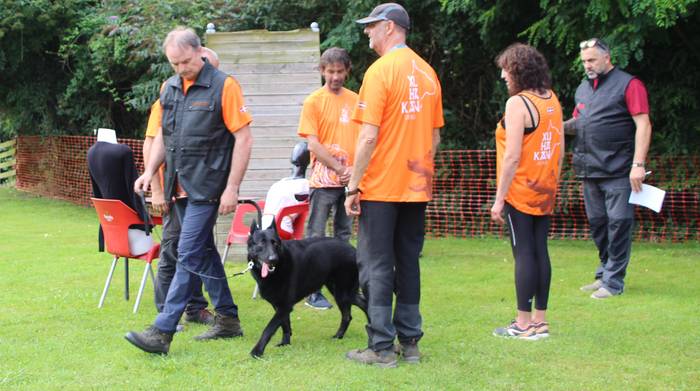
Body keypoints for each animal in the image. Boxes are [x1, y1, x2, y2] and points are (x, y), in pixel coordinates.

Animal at [246, 220, 366, 358]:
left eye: (275, 243)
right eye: (261, 243)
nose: (273, 259)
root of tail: (353, 249)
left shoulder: (284, 306)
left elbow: (269, 328)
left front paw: (257, 351)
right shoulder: (280, 306)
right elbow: (285, 325)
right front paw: (285, 343)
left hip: (343, 293)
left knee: (354, 310)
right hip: (340, 292)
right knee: (354, 311)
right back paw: (341, 335)